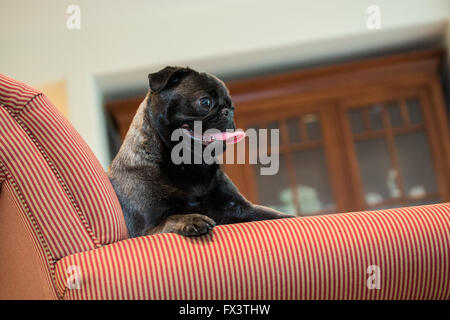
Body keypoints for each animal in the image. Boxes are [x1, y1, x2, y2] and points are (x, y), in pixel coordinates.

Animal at [108, 67, 292, 238]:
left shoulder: (241, 207)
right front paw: (192, 219)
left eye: (232, 107)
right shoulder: (145, 230)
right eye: (205, 102)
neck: (188, 164)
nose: (227, 112)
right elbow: (171, 218)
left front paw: (292, 217)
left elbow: (273, 214)